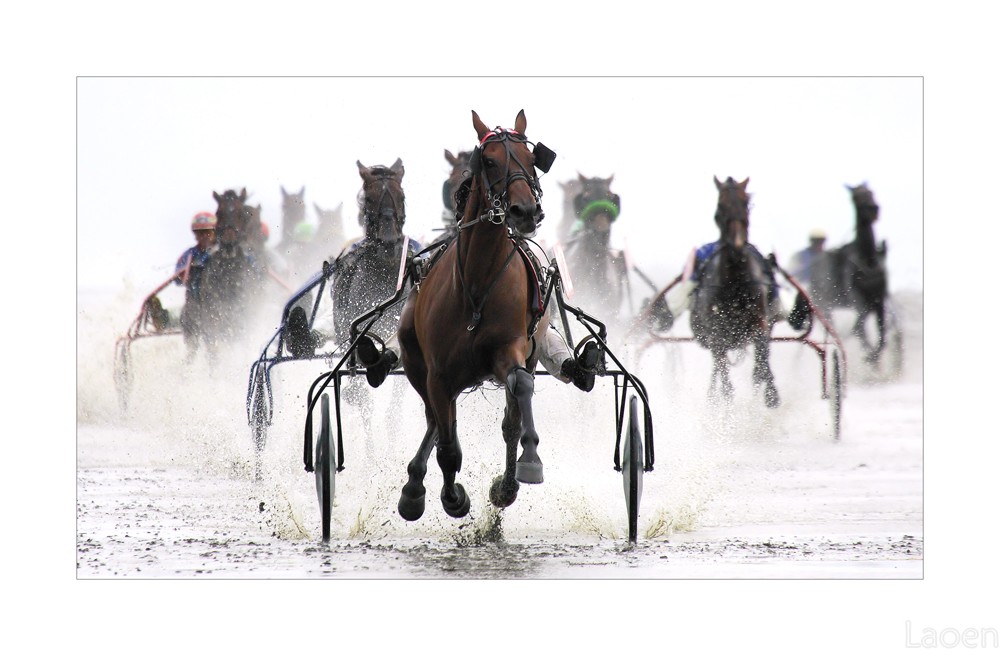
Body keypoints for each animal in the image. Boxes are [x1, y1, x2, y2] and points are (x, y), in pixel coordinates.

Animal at [395, 109, 554, 521]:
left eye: (532, 160)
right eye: (490, 161)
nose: (525, 211)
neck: (478, 282)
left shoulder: (511, 349)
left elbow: (519, 392)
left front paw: (528, 462)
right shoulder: (437, 373)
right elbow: (448, 446)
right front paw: (451, 496)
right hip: (416, 362)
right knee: (435, 420)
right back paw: (414, 486)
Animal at [689, 176, 779, 407]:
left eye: (746, 203)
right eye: (720, 207)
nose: (737, 244)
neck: (735, 282)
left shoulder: (760, 320)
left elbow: (762, 359)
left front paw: (771, 393)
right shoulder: (716, 332)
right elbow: (724, 376)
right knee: (718, 367)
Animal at [810, 183, 889, 365]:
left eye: (871, 192)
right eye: (856, 197)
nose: (874, 209)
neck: (868, 260)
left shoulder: (879, 298)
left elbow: (881, 333)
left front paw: (874, 354)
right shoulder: (857, 297)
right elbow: (860, 327)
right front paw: (870, 354)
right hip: (823, 304)